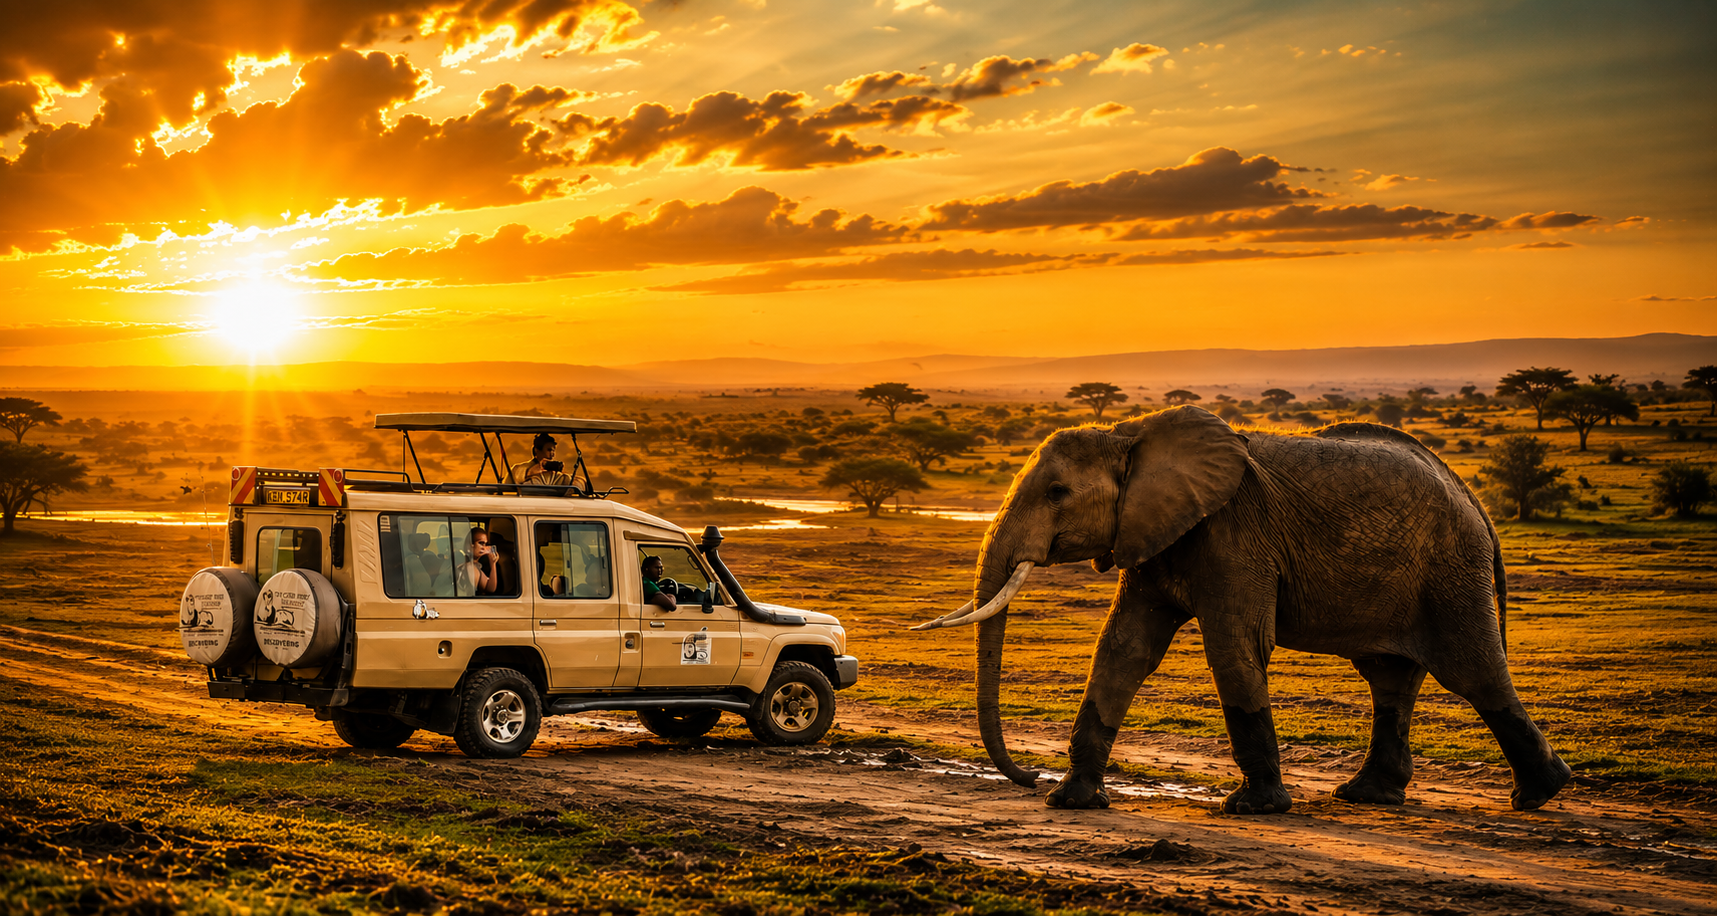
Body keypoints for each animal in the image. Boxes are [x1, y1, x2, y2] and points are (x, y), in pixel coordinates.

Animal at [913, 406, 1571, 815]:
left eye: (1056, 494)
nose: (1029, 776)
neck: (1129, 434)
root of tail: (1475, 500)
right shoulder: (1155, 533)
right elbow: (1123, 649)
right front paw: (1071, 801)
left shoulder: (1234, 533)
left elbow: (1234, 646)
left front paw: (1254, 810)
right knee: (1390, 678)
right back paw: (1366, 796)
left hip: (1450, 570)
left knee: (1473, 673)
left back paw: (1539, 795)